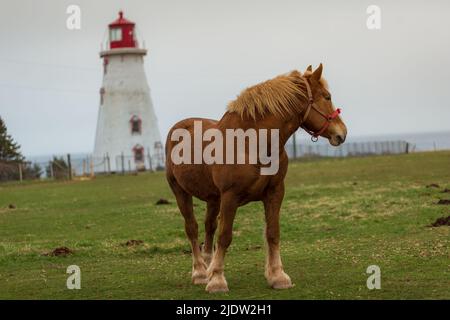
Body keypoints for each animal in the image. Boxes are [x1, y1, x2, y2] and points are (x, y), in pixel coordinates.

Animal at [165, 64, 348, 292]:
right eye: (327, 96)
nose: (342, 133)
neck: (251, 143)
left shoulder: (275, 192)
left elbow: (272, 233)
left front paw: (277, 276)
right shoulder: (230, 197)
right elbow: (225, 236)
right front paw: (217, 279)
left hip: (213, 198)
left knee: (208, 227)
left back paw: (207, 265)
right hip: (181, 192)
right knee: (192, 228)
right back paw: (200, 272)